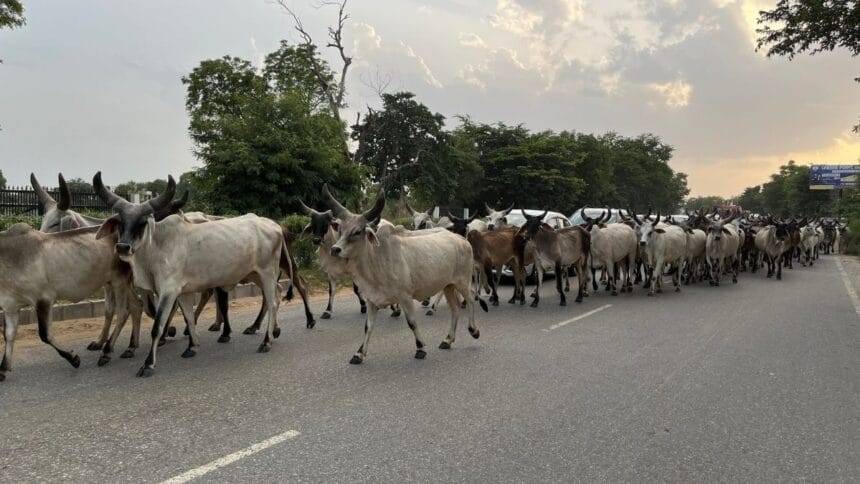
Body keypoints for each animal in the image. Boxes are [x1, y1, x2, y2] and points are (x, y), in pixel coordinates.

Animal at [93, 172, 286, 376]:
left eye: (142, 222)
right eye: (120, 222)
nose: (123, 247)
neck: (157, 247)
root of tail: (274, 225)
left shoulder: (168, 292)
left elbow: (157, 327)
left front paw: (148, 364)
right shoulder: (182, 292)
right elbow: (189, 317)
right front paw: (192, 347)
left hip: (267, 273)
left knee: (272, 302)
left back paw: (266, 341)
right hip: (256, 275)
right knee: (278, 292)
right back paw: (274, 331)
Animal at [320, 184, 484, 364]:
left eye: (357, 232)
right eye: (340, 230)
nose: (335, 249)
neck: (376, 262)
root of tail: (461, 239)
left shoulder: (405, 297)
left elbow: (412, 323)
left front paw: (420, 348)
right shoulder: (371, 300)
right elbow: (368, 327)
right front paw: (359, 353)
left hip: (463, 281)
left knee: (470, 299)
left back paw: (474, 330)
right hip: (448, 285)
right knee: (454, 308)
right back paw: (448, 339)